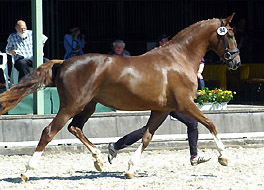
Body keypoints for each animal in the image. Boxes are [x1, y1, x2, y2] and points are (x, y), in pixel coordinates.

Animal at [0, 13, 239, 181]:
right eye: (230, 34)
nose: (235, 62)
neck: (179, 58)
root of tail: (64, 62)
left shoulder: (162, 109)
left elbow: (147, 136)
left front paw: (130, 169)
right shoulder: (186, 104)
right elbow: (211, 124)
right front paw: (223, 157)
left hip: (88, 106)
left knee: (75, 127)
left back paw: (99, 159)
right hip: (71, 105)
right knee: (49, 131)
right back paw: (27, 172)